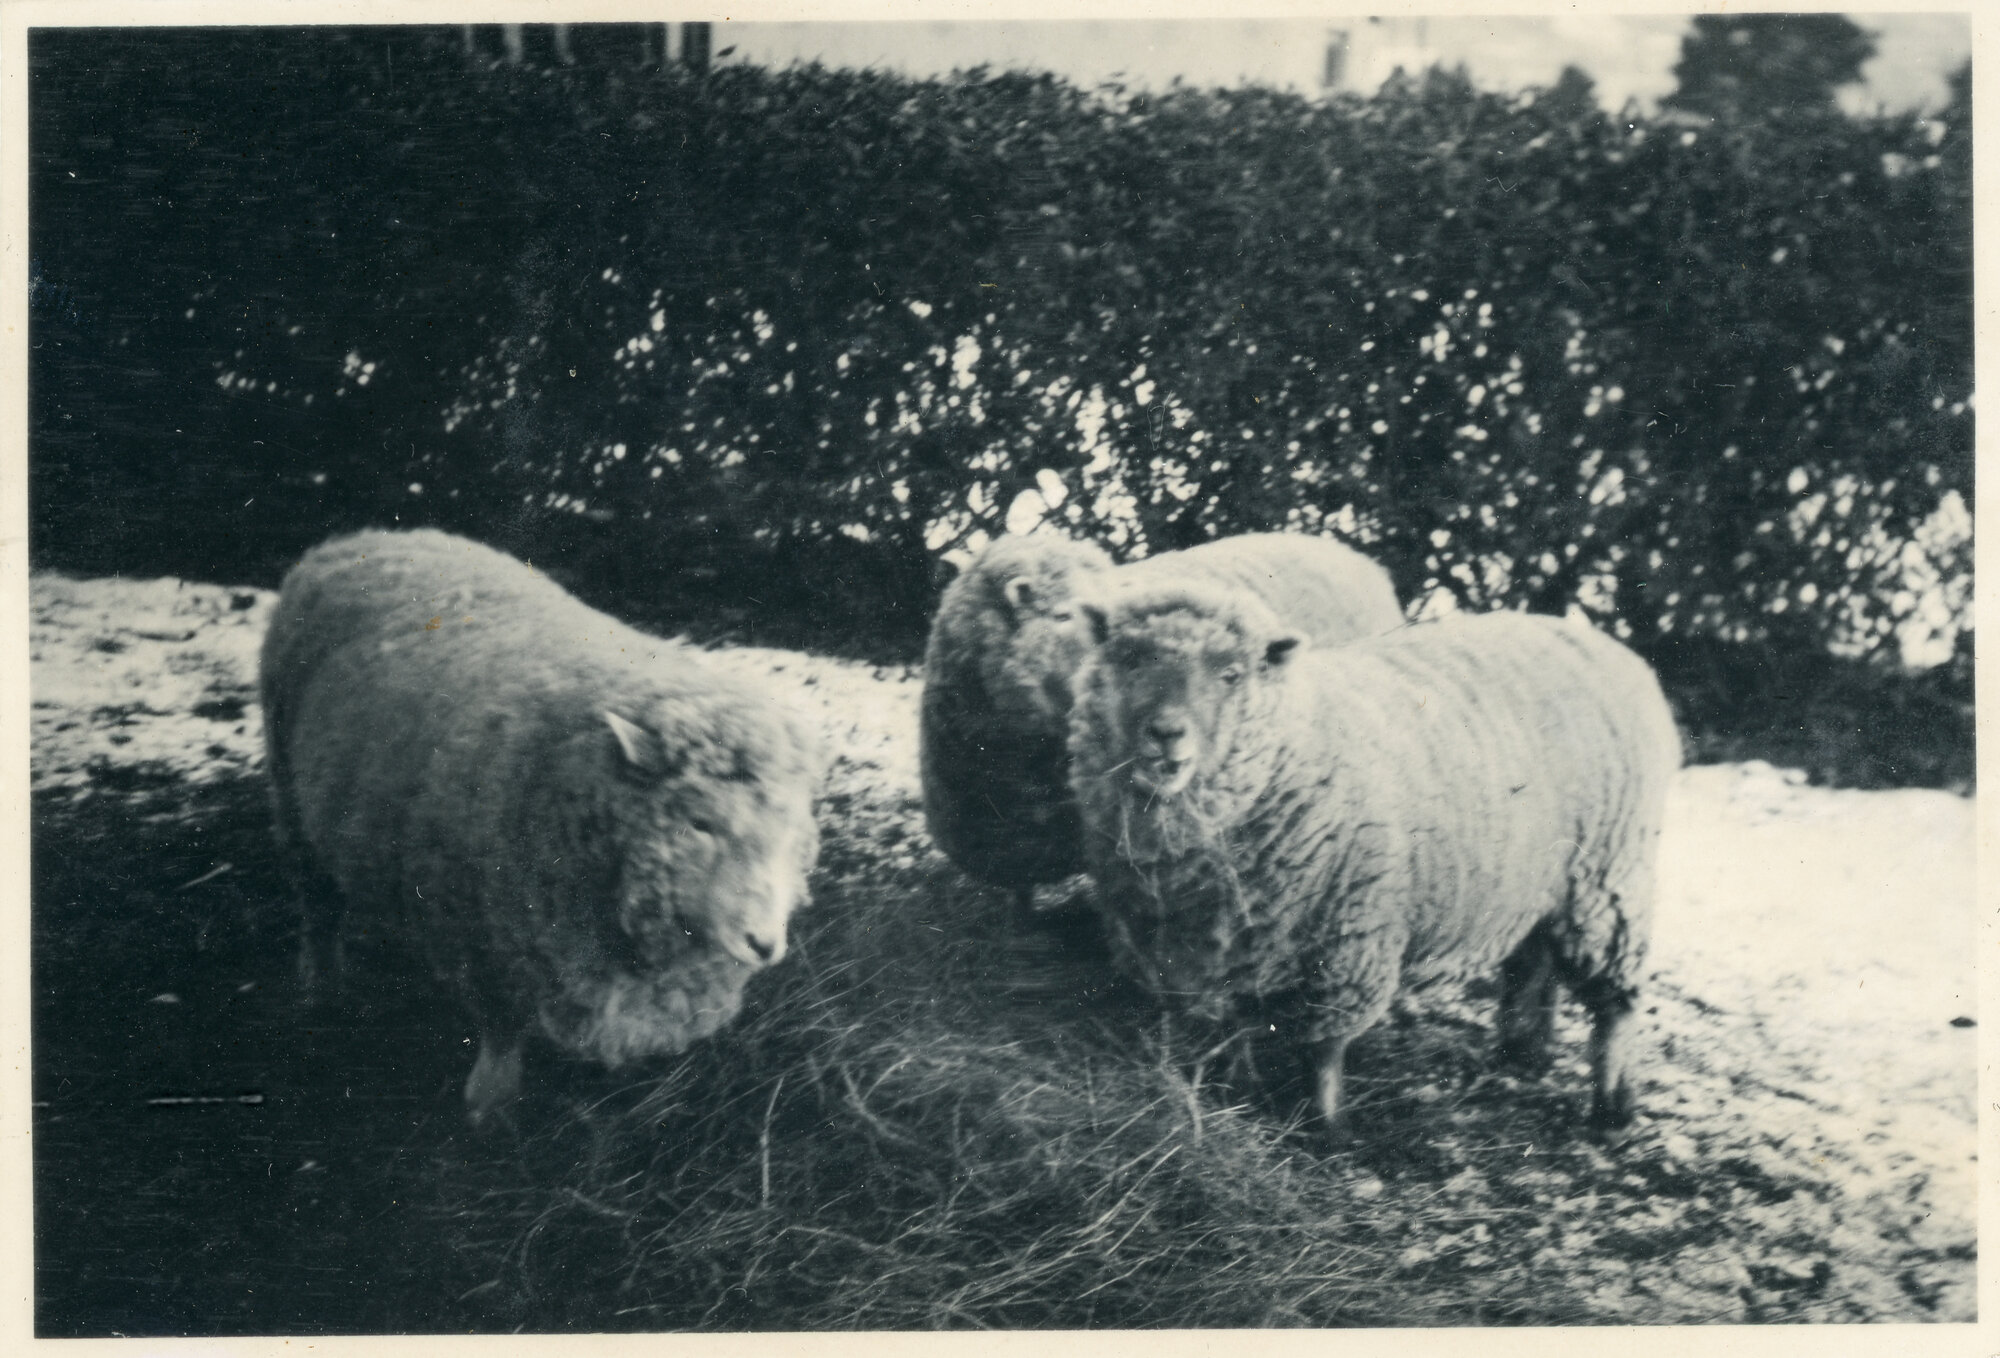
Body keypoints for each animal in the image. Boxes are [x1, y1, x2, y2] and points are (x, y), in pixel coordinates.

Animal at [259, 528, 823, 1123]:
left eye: (791, 832)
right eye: (699, 823)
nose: (763, 943)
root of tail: (369, 536)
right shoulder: (484, 939)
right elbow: (501, 1030)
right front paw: (487, 1103)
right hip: (289, 793)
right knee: (318, 905)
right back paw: (322, 985)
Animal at [1066, 582, 1681, 1131]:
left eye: (1231, 674)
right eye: (1130, 660)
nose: (1166, 733)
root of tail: (1606, 646)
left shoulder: (1350, 940)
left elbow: (1324, 1047)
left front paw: (1325, 1125)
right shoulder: (1225, 945)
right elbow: (1236, 1025)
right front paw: (1236, 1094)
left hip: (1607, 880)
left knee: (1616, 1004)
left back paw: (1611, 1109)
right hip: (1540, 881)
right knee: (1533, 960)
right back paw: (1521, 1053)